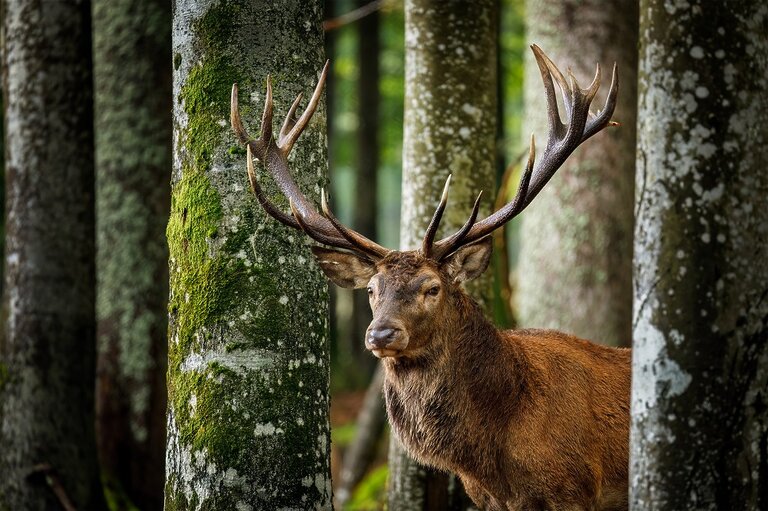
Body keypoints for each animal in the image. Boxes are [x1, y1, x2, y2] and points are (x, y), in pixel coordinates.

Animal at [231, 45, 630, 511]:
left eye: (432, 288)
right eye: (372, 289)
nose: (381, 334)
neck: (497, 458)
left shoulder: (576, 488)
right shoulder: (486, 499)